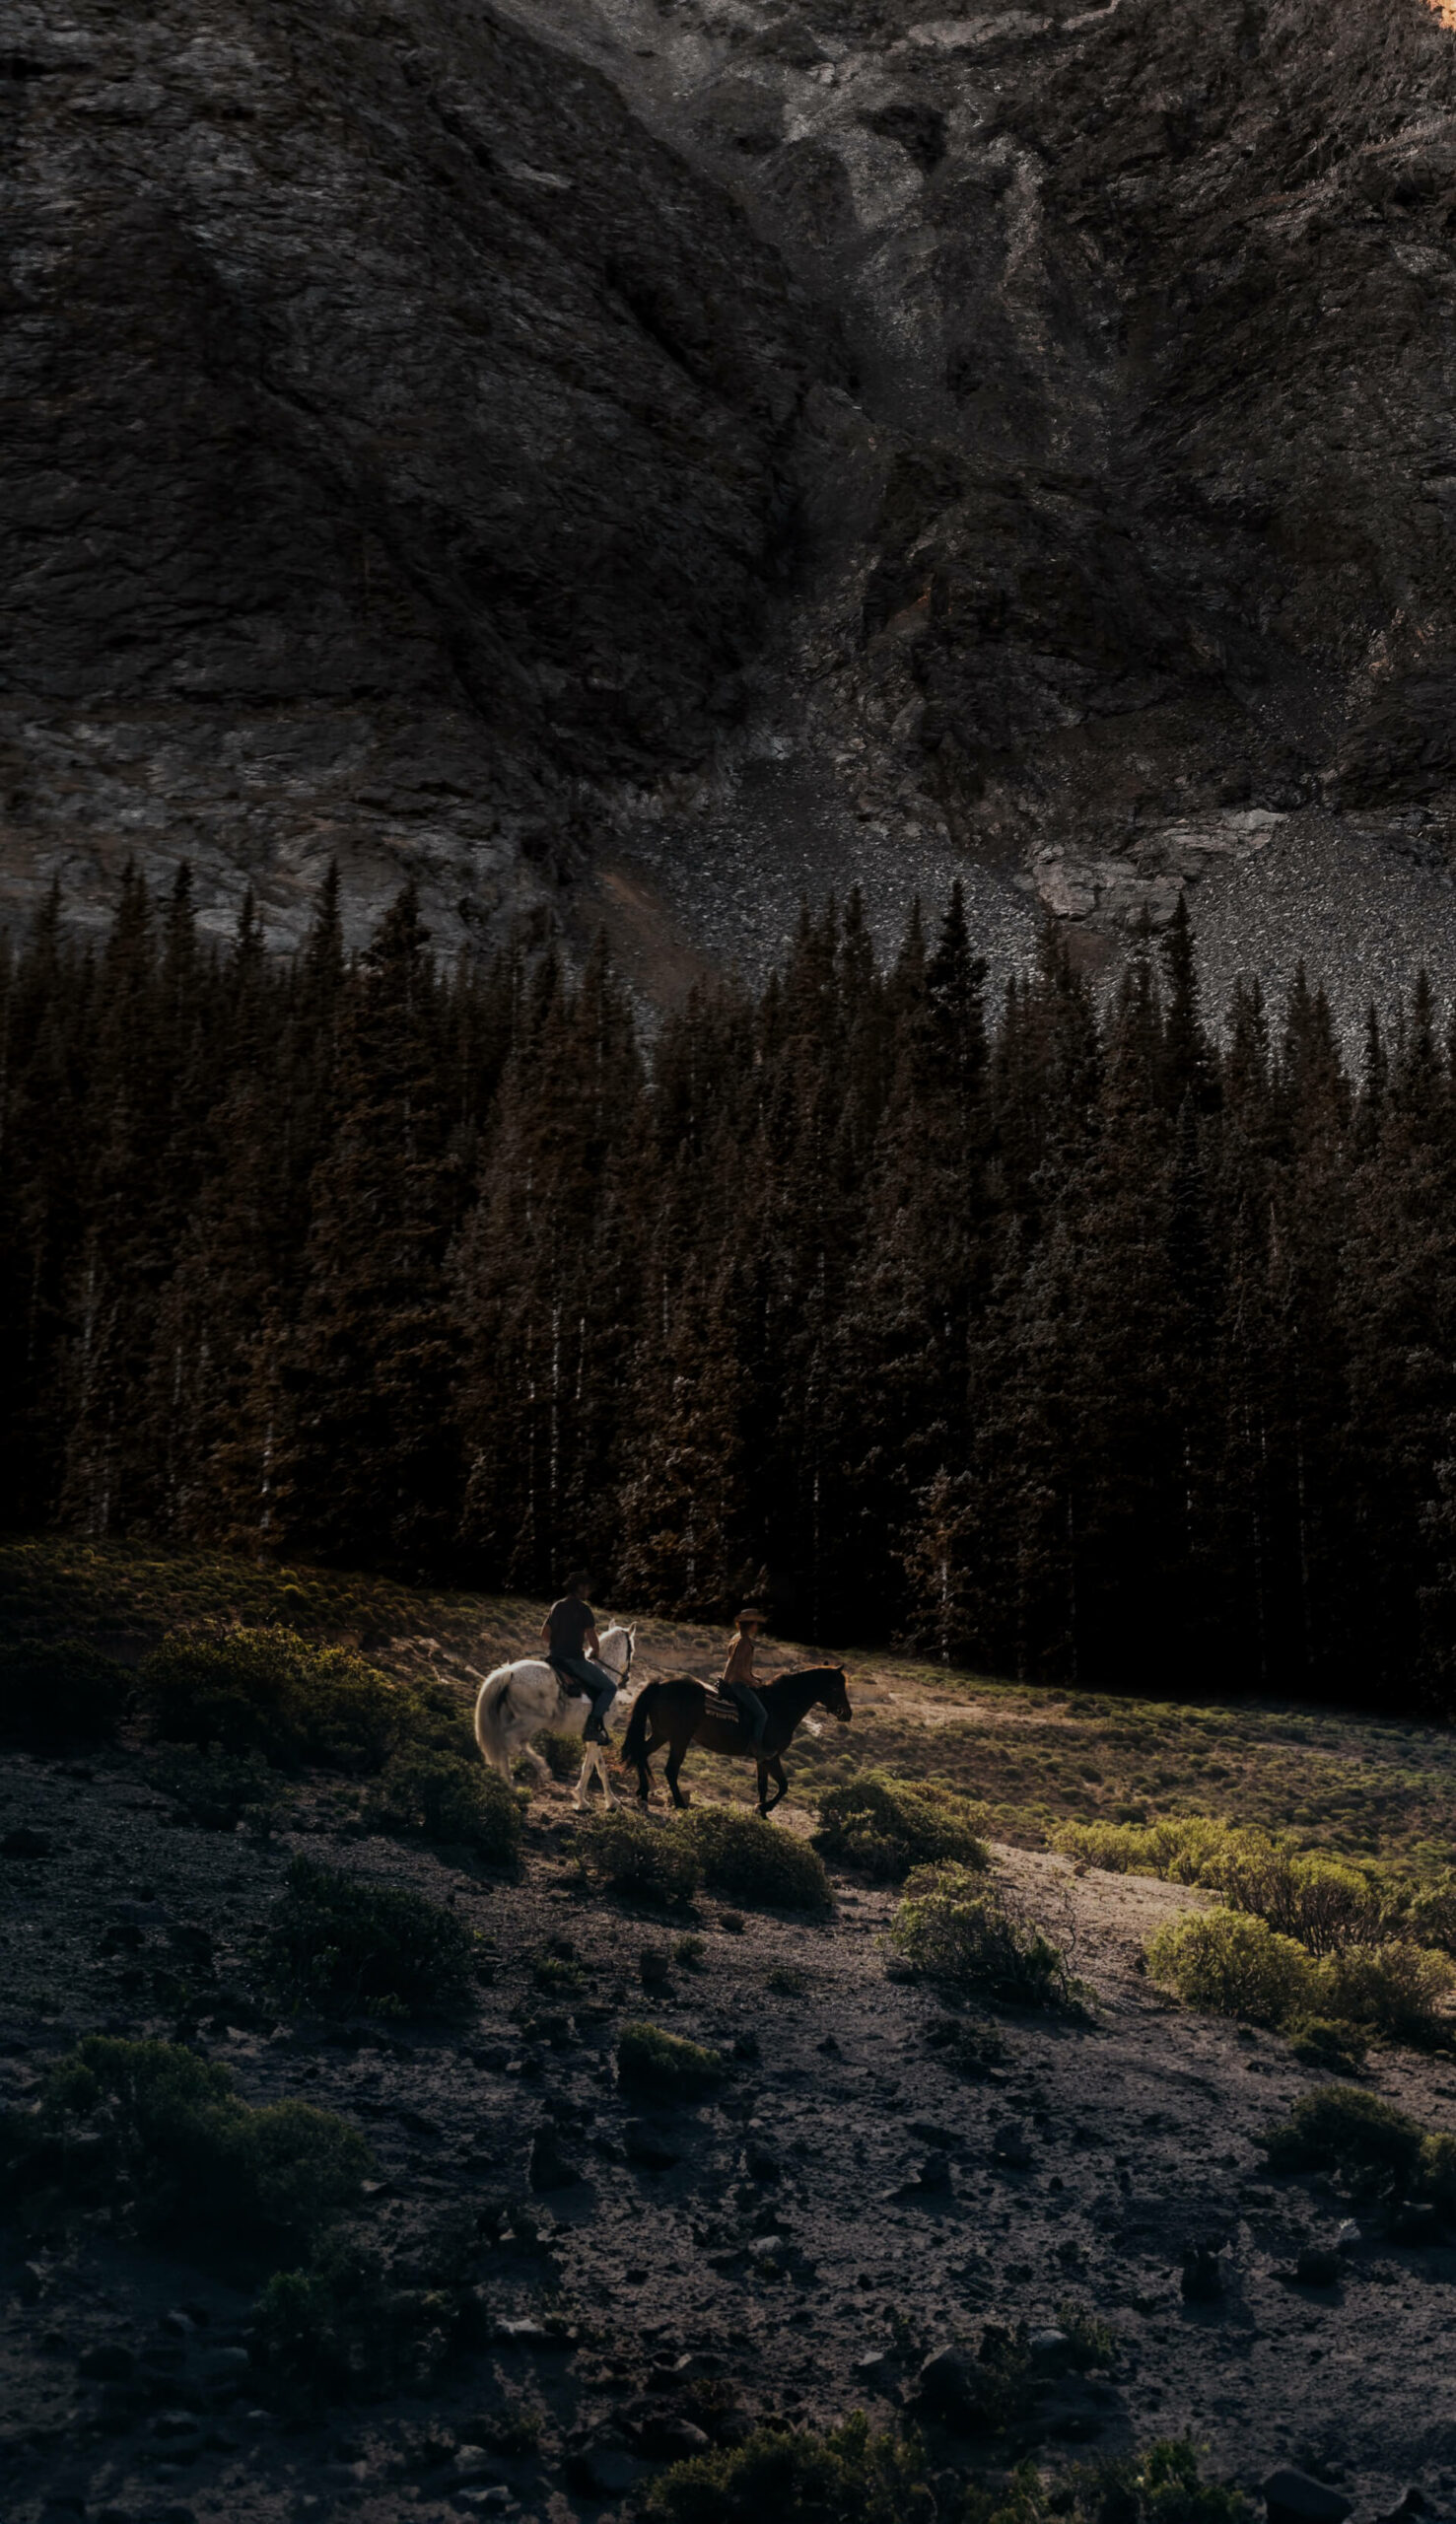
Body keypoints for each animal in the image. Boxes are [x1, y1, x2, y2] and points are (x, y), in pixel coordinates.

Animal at [471, 1625, 636, 1806]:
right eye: (632, 1649)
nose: (626, 1679)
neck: (606, 1671)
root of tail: (509, 1672)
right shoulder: (595, 1734)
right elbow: (589, 1767)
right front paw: (581, 1800)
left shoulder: (594, 1734)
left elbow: (600, 1767)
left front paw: (611, 1801)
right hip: (533, 1720)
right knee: (511, 1740)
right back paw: (541, 1768)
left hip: (515, 1718)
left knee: (507, 1744)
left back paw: (510, 1784)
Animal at [615, 1665, 848, 1806]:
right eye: (837, 1686)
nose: (847, 1713)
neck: (780, 1706)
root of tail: (660, 1685)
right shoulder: (772, 1757)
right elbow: (783, 1786)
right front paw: (765, 1808)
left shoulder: (762, 1759)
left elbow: (763, 1785)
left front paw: (762, 1812)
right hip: (679, 1738)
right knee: (670, 1769)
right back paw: (680, 1803)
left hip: (662, 1734)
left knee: (641, 1753)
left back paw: (644, 1792)